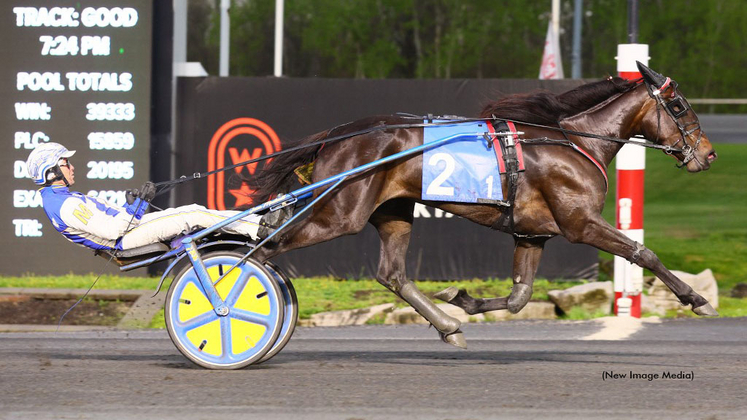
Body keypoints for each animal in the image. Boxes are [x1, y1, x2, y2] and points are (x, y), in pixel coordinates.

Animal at [250, 63, 720, 348]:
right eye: (679, 105)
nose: (709, 154)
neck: (574, 142)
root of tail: (336, 134)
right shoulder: (580, 223)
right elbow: (643, 252)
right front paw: (698, 299)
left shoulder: (532, 232)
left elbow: (519, 297)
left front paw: (462, 299)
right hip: (340, 213)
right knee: (267, 249)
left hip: (393, 212)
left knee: (393, 275)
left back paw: (449, 327)